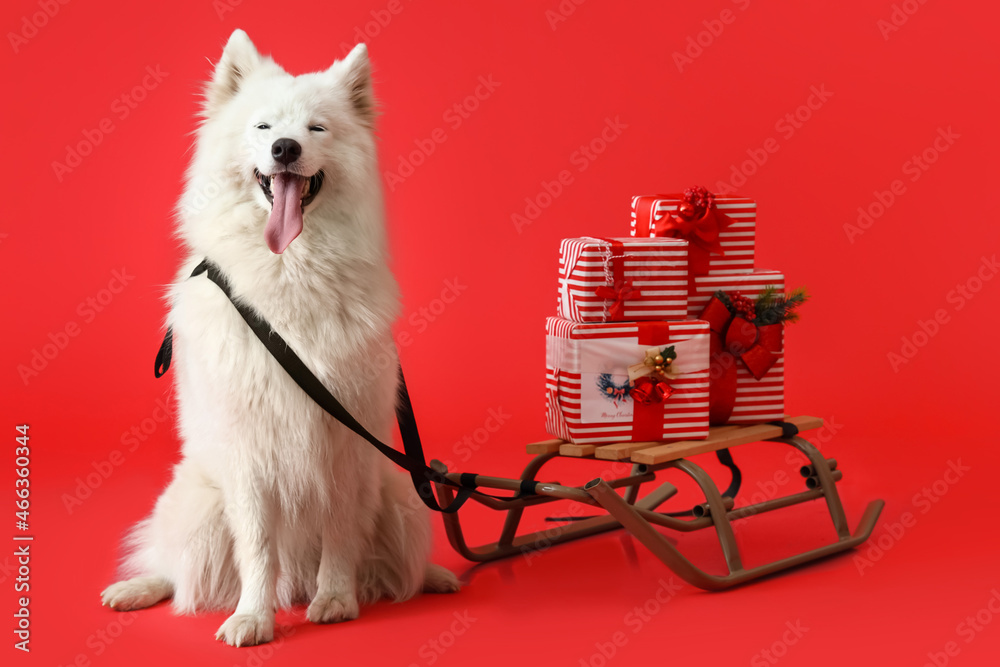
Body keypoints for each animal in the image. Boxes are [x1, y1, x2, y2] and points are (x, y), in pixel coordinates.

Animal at [99, 30, 458, 648]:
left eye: (317, 128)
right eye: (264, 127)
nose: (285, 149)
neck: (292, 272)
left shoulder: (344, 444)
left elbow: (340, 532)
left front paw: (335, 599)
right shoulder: (248, 452)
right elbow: (257, 548)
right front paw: (253, 618)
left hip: (402, 498)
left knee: (397, 569)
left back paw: (431, 577)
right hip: (198, 507)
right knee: (177, 571)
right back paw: (137, 589)